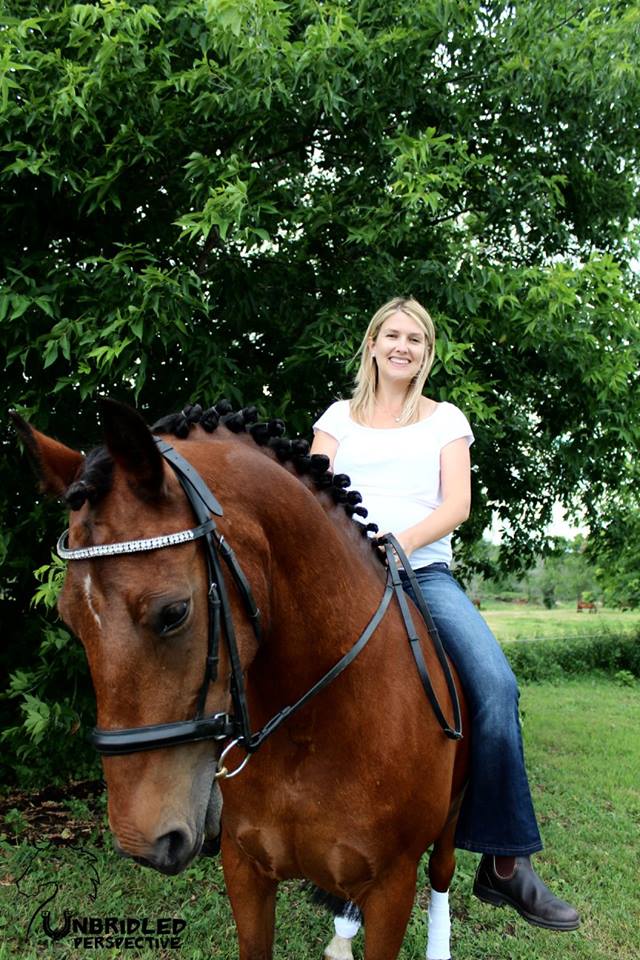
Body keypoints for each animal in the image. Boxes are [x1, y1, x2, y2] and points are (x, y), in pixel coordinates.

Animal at [14, 398, 469, 960]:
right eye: (69, 620)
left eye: (174, 612)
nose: (143, 841)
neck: (312, 731)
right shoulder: (245, 869)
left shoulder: (392, 887)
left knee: (443, 872)